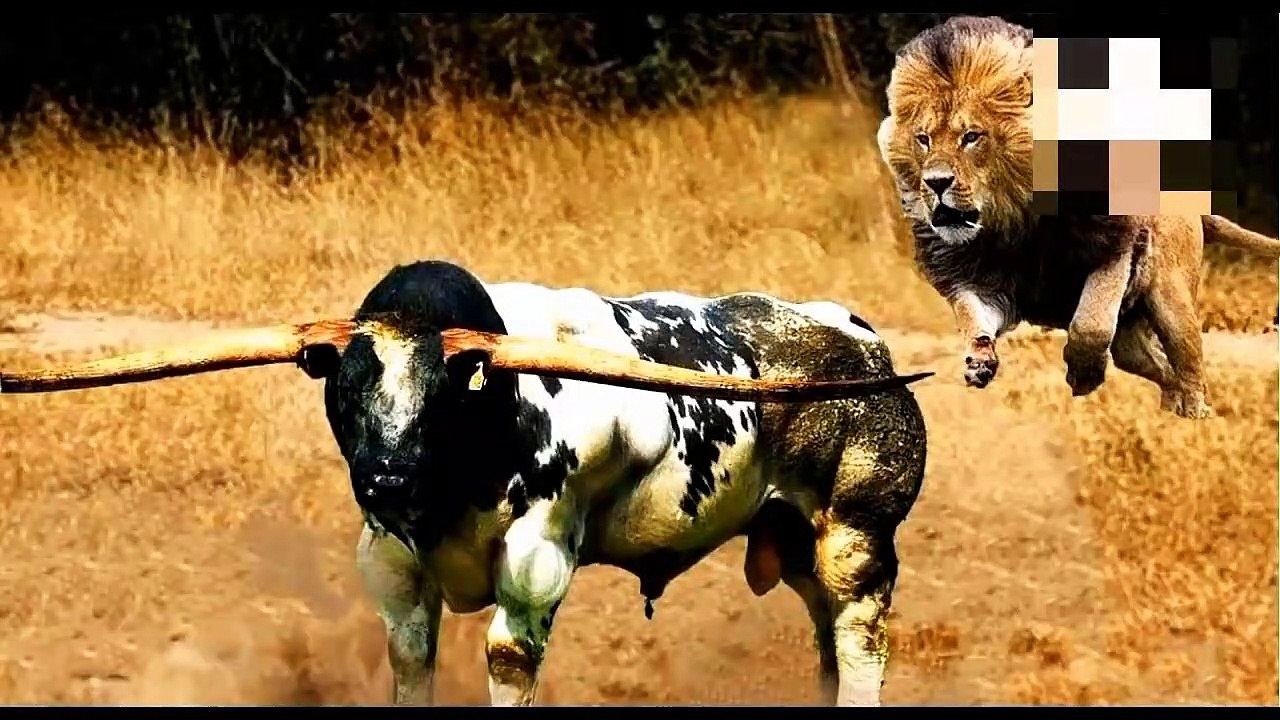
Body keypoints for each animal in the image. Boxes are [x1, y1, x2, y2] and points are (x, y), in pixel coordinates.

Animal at [875, 14, 1280, 419]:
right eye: (923, 139)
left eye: (972, 136)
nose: (935, 182)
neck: (1018, 221)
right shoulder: (982, 278)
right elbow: (970, 314)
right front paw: (980, 360)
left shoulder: (1117, 246)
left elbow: (1091, 322)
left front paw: (1083, 375)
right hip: (1132, 340)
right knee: (1158, 366)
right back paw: (1170, 407)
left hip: (1172, 298)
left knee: (1189, 363)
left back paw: (1194, 413)